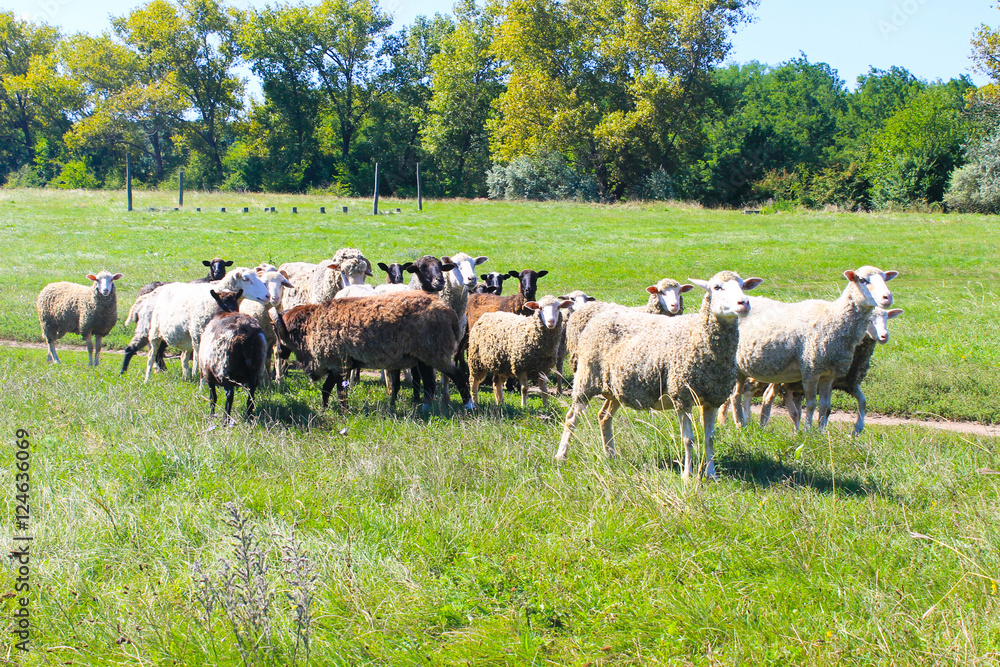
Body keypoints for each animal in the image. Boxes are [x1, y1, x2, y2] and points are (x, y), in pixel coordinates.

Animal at [141, 268, 272, 381]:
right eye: (246, 279)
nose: (268, 296)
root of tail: (166, 286)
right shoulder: (197, 335)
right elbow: (198, 359)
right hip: (156, 331)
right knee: (151, 355)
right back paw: (147, 379)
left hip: (186, 337)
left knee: (183, 356)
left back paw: (187, 377)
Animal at [200, 289, 268, 422]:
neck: (227, 310)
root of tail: (245, 332)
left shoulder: (208, 374)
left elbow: (212, 397)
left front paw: (211, 415)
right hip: (256, 368)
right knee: (251, 394)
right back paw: (248, 418)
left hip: (224, 368)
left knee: (229, 394)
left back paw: (225, 419)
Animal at [269, 291, 474, 412]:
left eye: (276, 332)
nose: (279, 352)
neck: (310, 326)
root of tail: (449, 313)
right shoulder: (335, 365)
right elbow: (326, 389)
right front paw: (325, 409)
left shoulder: (339, 363)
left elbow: (339, 392)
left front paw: (345, 412)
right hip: (424, 357)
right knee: (430, 385)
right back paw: (424, 409)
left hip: (436, 353)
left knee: (458, 376)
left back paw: (469, 405)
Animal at [556, 271, 763, 480]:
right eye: (717, 287)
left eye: (743, 286)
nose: (744, 303)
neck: (698, 337)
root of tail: (600, 315)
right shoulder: (682, 396)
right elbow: (688, 439)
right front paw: (687, 476)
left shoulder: (712, 399)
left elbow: (709, 438)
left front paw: (711, 474)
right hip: (586, 379)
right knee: (571, 418)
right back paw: (561, 455)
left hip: (616, 388)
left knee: (604, 416)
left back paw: (611, 455)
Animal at [733, 266, 898, 432]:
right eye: (863, 280)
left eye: (885, 278)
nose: (887, 297)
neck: (834, 318)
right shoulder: (810, 371)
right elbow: (811, 404)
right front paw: (807, 431)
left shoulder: (828, 375)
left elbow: (824, 406)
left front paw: (820, 433)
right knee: (736, 395)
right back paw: (741, 425)